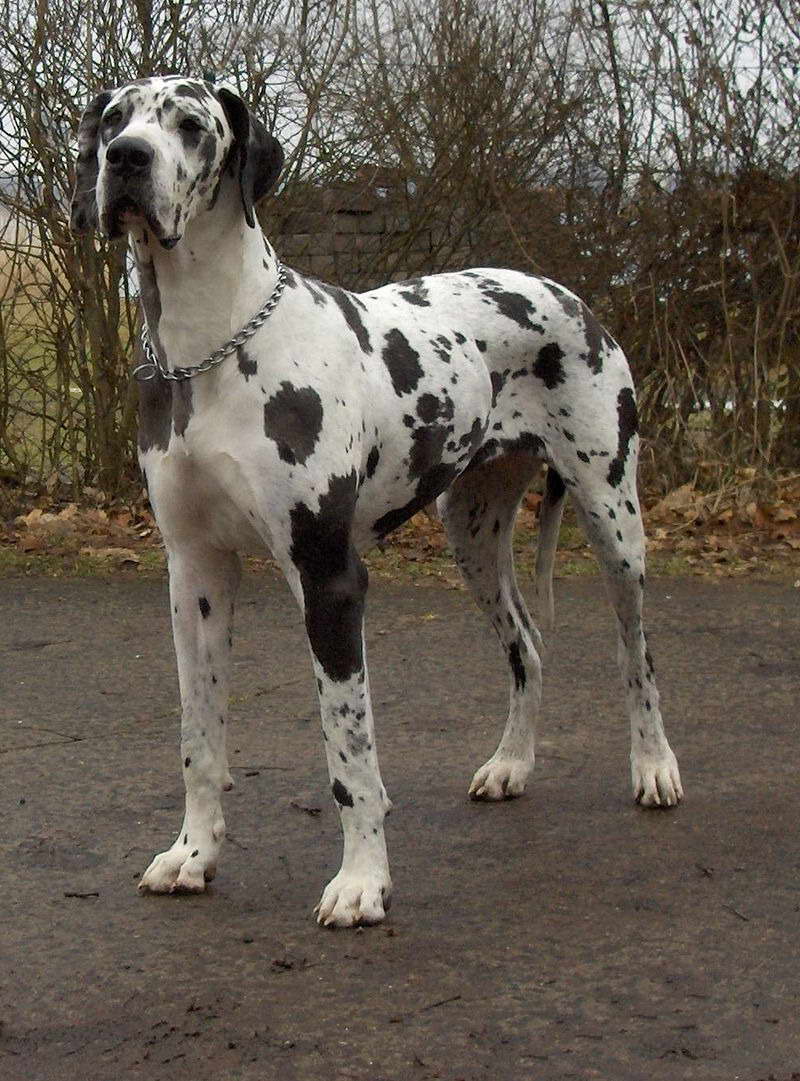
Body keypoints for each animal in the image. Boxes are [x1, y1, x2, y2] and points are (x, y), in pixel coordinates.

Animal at [70, 76, 683, 925]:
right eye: (113, 120)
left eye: (191, 125)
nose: (127, 159)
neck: (212, 343)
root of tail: (563, 288)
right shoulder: (193, 574)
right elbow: (200, 735)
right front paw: (193, 854)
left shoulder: (329, 578)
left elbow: (348, 750)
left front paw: (362, 880)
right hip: (473, 534)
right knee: (527, 644)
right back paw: (511, 763)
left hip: (613, 518)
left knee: (638, 652)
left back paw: (654, 767)